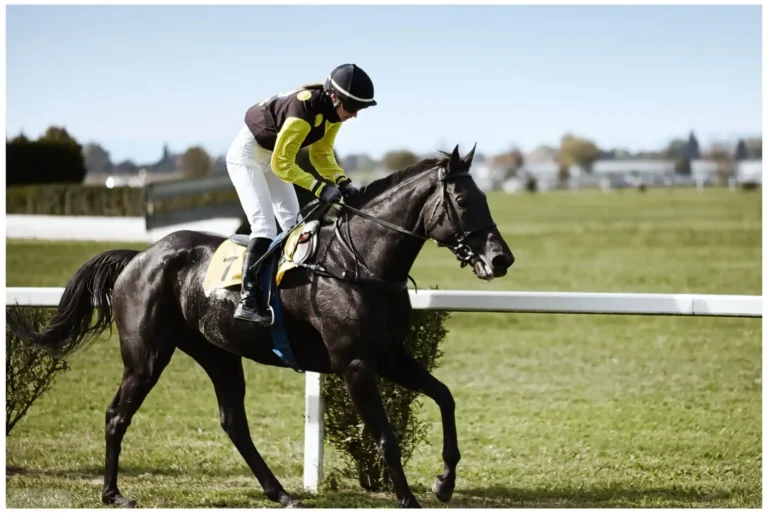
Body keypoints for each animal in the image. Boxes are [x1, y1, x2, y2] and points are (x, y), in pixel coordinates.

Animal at [7, 144, 514, 508]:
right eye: (464, 199)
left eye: (486, 197)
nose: (500, 259)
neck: (360, 263)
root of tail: (139, 257)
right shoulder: (354, 364)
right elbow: (387, 437)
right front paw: (410, 499)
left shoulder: (390, 357)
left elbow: (445, 397)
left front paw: (444, 481)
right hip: (146, 357)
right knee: (117, 415)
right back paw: (113, 493)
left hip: (217, 353)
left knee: (233, 422)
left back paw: (279, 491)